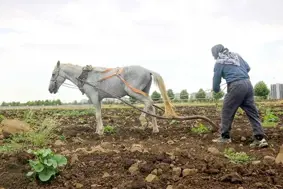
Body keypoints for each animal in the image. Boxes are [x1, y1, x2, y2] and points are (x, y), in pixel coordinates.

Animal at [48, 60, 178, 134]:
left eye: (53, 74)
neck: (85, 76)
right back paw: (155, 129)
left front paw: (100, 131)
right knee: (152, 106)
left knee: (148, 102)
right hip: (144, 90)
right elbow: (99, 114)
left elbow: (97, 115)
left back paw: (143, 121)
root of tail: (147, 70)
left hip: (132, 92)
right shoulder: (98, 99)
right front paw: (98, 130)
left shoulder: (94, 97)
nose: (50, 89)